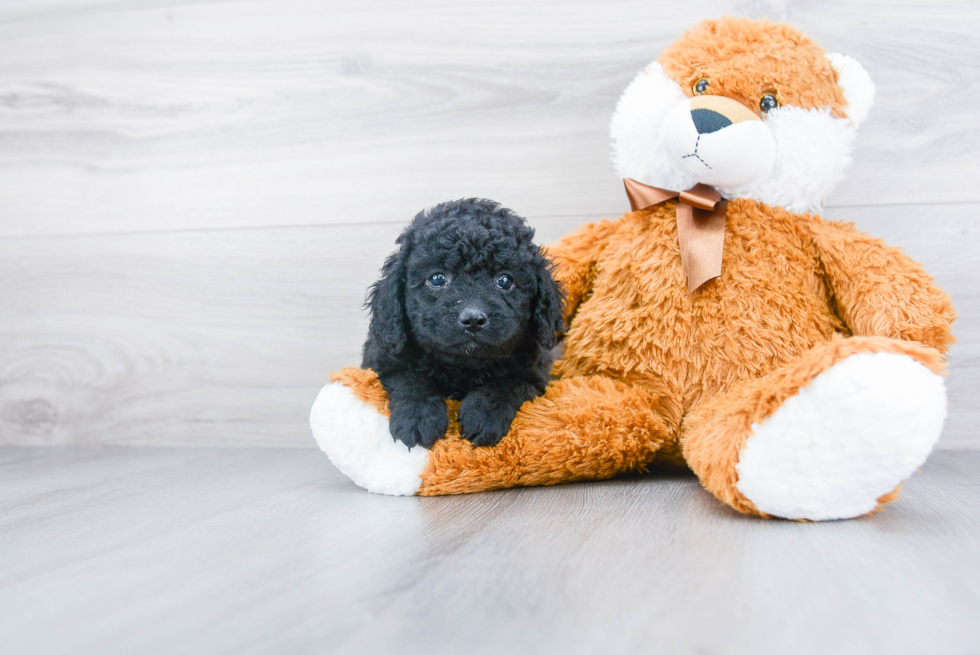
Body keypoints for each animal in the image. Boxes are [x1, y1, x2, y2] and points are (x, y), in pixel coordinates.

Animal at [362, 197, 564, 448]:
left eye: (505, 281)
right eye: (437, 279)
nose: (473, 319)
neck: (463, 365)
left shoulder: (536, 372)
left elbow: (509, 382)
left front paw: (484, 415)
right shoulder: (382, 359)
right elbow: (408, 378)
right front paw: (418, 418)